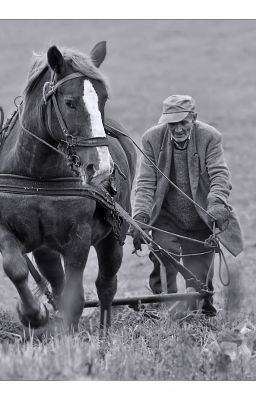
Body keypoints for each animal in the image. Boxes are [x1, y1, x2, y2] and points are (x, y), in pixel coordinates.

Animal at [0, 42, 136, 332]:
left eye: (103, 99)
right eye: (69, 102)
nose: (101, 168)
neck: (38, 178)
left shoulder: (79, 237)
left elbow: (77, 297)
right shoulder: (6, 228)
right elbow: (16, 269)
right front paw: (33, 314)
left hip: (113, 237)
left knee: (106, 285)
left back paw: (104, 333)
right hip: (46, 249)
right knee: (58, 283)